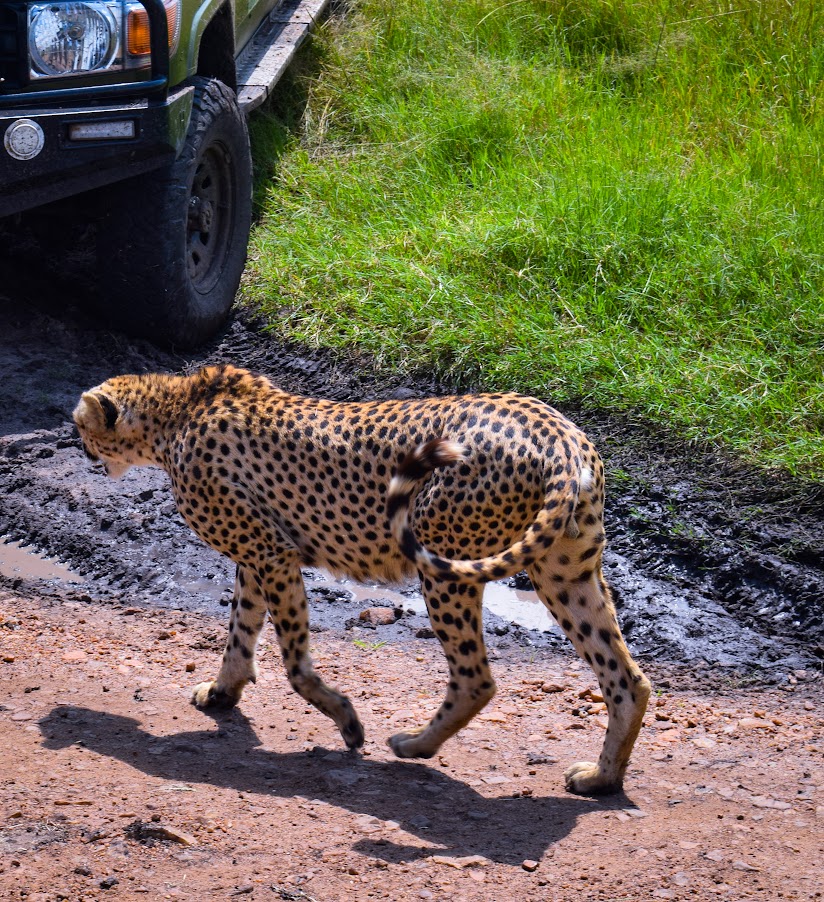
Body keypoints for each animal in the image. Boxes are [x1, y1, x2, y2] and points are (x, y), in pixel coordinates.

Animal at [73, 364, 651, 795]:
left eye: (81, 426)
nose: (79, 446)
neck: (177, 412)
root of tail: (556, 430)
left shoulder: (272, 553)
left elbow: (294, 663)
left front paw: (346, 721)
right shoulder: (259, 556)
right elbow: (240, 629)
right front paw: (222, 692)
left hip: (445, 563)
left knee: (476, 678)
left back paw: (415, 745)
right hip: (565, 572)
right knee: (626, 677)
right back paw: (602, 777)